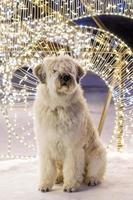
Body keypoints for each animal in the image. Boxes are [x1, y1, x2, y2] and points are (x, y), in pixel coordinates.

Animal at [33, 54, 106, 192]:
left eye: (70, 69)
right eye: (54, 70)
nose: (65, 77)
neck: (58, 107)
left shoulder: (73, 148)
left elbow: (72, 168)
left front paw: (70, 185)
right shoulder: (46, 146)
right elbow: (47, 169)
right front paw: (45, 184)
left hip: (98, 154)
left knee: (94, 171)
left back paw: (91, 179)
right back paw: (58, 178)